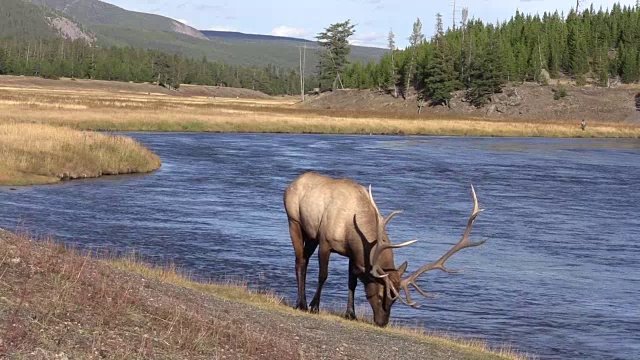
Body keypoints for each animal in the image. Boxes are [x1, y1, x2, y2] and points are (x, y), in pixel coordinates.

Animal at [282, 172, 488, 326]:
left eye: (395, 299)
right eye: (382, 295)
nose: (382, 322)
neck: (352, 230)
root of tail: (291, 184)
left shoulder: (353, 255)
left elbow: (352, 282)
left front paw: (351, 313)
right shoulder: (325, 241)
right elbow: (323, 275)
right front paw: (315, 306)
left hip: (311, 235)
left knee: (304, 259)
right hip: (294, 222)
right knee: (300, 260)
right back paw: (301, 303)